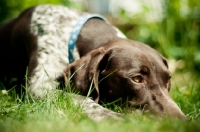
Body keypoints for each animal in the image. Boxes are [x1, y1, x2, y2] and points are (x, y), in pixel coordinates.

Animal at [0, 4, 186, 120]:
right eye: (137, 79)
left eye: (168, 80)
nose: (181, 123)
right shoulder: (39, 86)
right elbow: (82, 100)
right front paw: (113, 117)